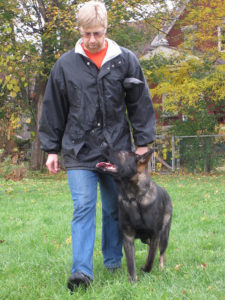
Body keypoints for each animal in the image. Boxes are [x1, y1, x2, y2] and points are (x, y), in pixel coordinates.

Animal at [96, 150, 172, 284]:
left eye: (122, 153)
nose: (102, 145)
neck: (134, 198)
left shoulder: (155, 235)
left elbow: (151, 259)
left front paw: (146, 269)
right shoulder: (128, 237)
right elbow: (131, 262)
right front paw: (133, 282)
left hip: (164, 236)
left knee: (161, 254)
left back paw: (161, 268)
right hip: (147, 238)